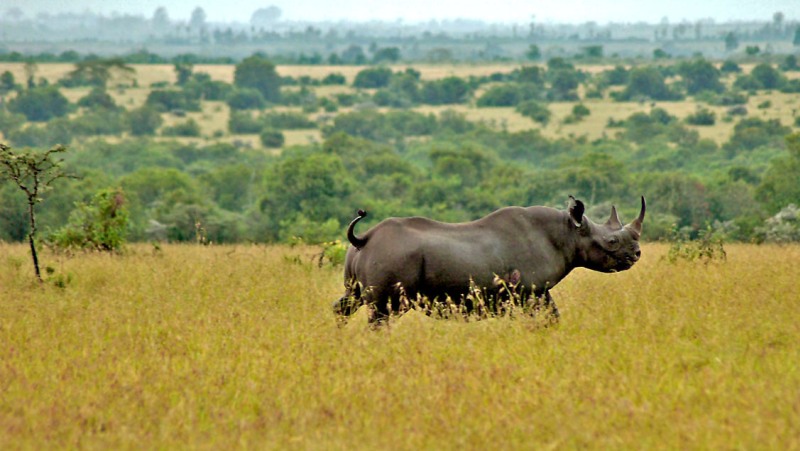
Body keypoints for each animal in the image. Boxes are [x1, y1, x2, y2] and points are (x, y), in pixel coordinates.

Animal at [333, 196, 645, 323]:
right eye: (612, 242)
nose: (637, 255)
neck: (568, 232)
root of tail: (365, 238)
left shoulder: (536, 291)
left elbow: (553, 316)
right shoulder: (530, 290)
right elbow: (546, 317)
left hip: (358, 263)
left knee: (349, 303)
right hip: (392, 260)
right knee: (382, 313)